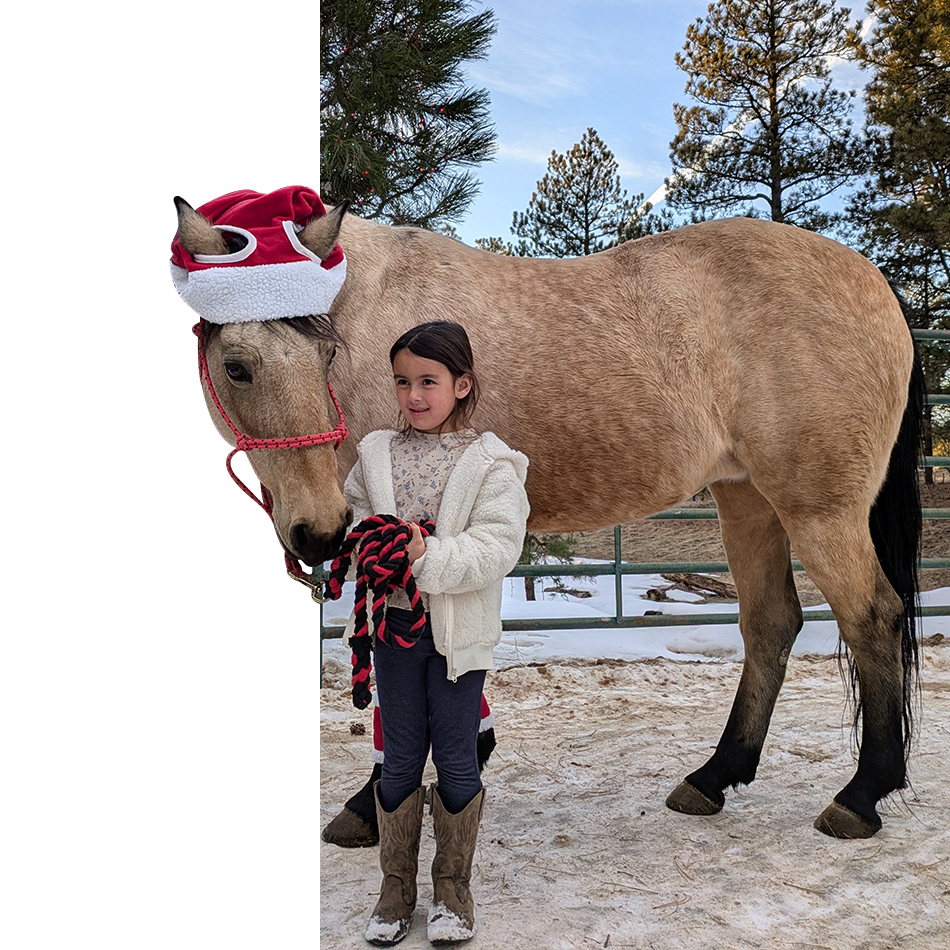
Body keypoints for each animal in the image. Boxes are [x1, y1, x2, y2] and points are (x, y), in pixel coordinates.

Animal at [174, 197, 923, 840]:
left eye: (327, 354)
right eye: (237, 367)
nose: (319, 532)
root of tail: (874, 282)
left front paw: (377, 800)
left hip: (819, 508)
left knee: (873, 617)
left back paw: (862, 795)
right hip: (746, 498)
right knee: (771, 623)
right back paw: (714, 778)